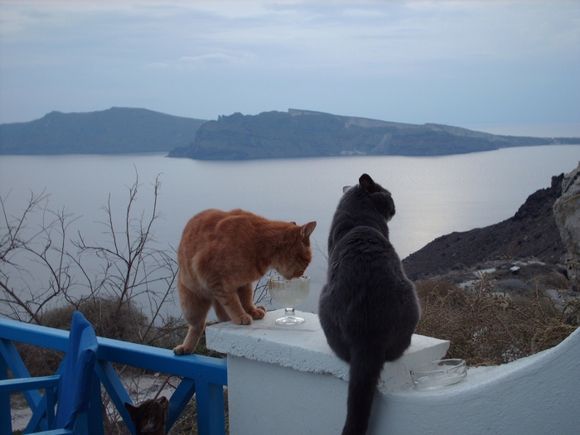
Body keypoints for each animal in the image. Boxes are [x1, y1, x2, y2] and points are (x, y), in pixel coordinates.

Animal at [174, 209, 318, 356]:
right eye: (306, 261)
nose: (301, 274)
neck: (260, 244)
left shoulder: (244, 283)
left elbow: (246, 299)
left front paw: (252, 311)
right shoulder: (216, 279)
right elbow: (232, 302)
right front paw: (241, 315)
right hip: (191, 304)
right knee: (197, 326)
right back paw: (186, 347)